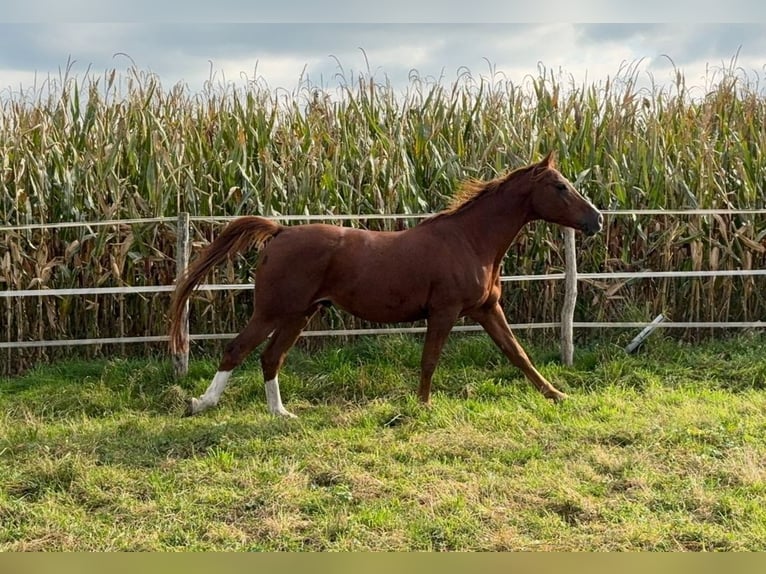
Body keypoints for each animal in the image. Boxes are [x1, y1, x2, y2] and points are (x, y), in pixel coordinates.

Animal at [169, 151, 603, 417]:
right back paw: (200, 404)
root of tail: (279, 232)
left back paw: (280, 413)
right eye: (560, 186)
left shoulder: (486, 308)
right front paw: (423, 406)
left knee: (270, 357)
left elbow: (518, 354)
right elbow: (430, 360)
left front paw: (557, 395)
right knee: (237, 349)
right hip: (273, 310)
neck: (470, 240)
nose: (596, 220)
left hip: (301, 313)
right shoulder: (444, 312)